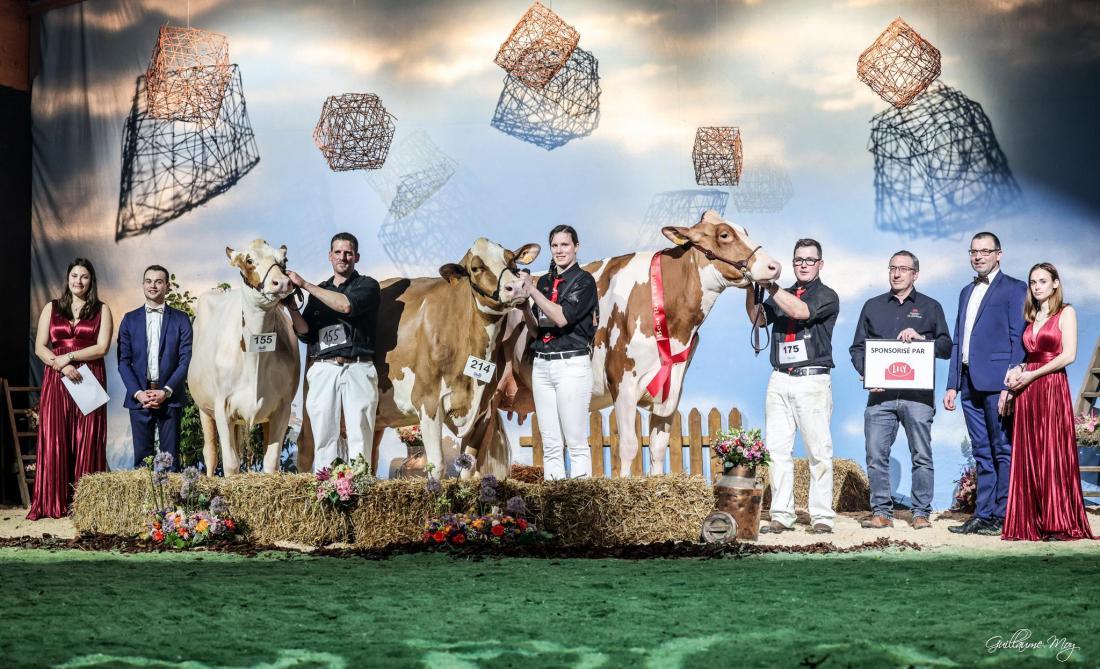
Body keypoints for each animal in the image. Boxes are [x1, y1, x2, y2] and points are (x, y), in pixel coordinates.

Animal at [188, 239, 301, 475]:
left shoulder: (282, 408)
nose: (282, 283)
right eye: (249, 260)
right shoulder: (222, 406)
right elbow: (230, 464)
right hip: (204, 408)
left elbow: (270, 463)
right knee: (210, 454)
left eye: (284, 260)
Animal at [495, 209, 778, 475]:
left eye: (745, 230)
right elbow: (629, 445)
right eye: (724, 235)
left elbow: (658, 448)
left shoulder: (673, 387)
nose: (774, 266)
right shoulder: (622, 380)